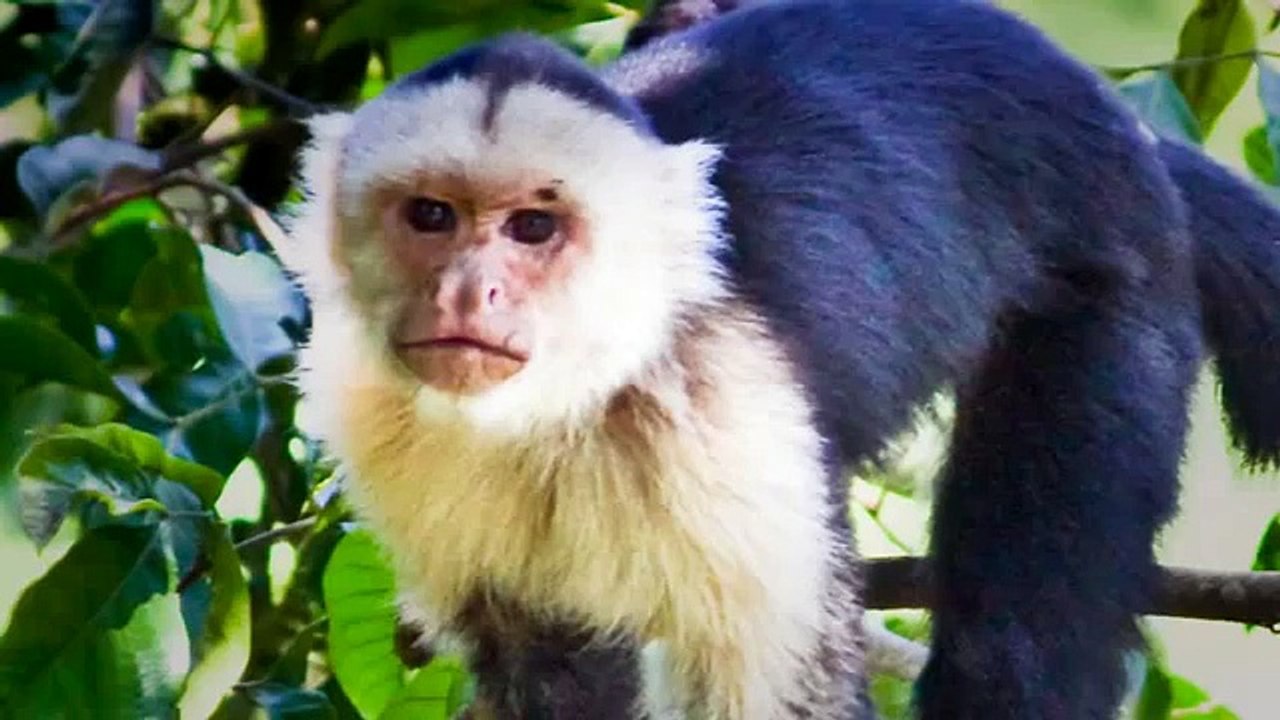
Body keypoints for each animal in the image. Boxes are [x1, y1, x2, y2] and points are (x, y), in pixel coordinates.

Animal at [279, 0, 1280, 718]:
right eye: (430, 216)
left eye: (534, 228)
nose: (467, 294)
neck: (567, 398)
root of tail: (1125, 129)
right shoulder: (382, 428)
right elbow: (552, 672)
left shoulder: (729, 410)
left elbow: (783, 691)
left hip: (1116, 287)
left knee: (1017, 641)